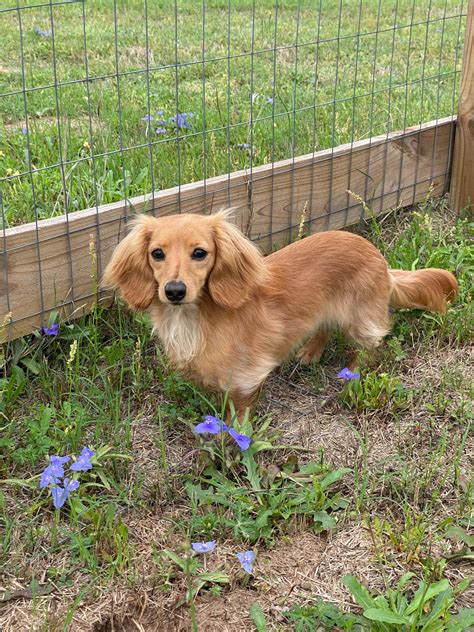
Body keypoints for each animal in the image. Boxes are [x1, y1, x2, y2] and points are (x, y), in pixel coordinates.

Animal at [104, 209, 460, 420]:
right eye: (157, 253)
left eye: (200, 253)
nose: (174, 291)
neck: (198, 318)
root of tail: (380, 259)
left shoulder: (247, 378)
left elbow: (237, 415)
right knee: (323, 327)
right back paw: (310, 352)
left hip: (360, 320)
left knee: (369, 346)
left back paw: (352, 374)